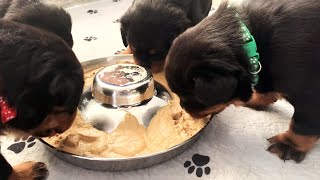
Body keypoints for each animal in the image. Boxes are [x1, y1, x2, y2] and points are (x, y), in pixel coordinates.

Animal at [165, 0, 320, 163]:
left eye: (192, 97)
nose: (182, 106)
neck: (252, 44)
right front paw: (256, 99)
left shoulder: (310, 98)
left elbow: (301, 126)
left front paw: (288, 145)